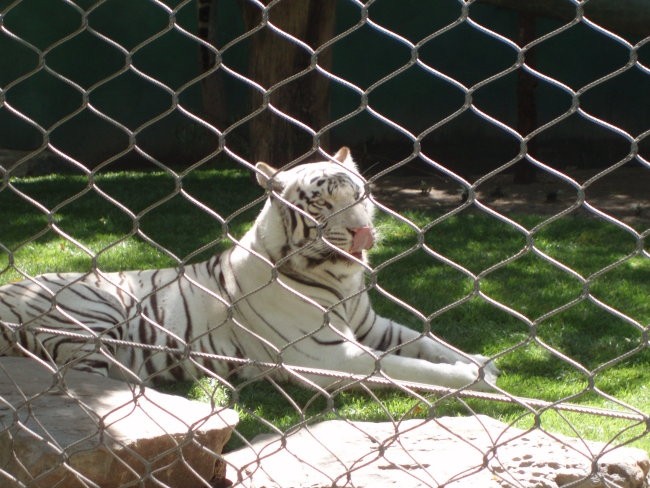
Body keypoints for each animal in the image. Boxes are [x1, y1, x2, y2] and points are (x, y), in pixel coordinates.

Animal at [0, 147, 496, 390]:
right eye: (322, 203)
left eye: (359, 194)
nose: (362, 233)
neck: (340, 279)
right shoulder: (329, 356)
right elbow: (409, 368)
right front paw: (474, 380)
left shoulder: (373, 327)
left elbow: (428, 343)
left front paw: (481, 362)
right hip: (94, 308)